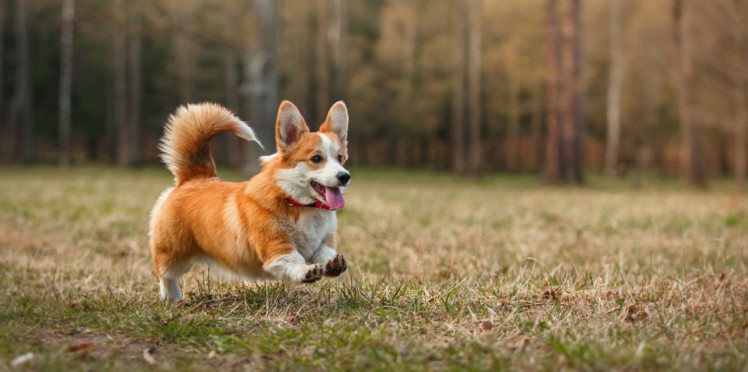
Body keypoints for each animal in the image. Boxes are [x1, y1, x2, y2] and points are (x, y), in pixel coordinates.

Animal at [152, 99, 354, 302]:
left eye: (340, 158)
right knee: (165, 274)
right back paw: (173, 299)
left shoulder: (323, 242)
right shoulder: (276, 247)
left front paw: (333, 264)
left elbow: (324, 253)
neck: (298, 202)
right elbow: (293, 259)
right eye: (316, 158)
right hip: (173, 253)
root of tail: (194, 177)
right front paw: (305, 271)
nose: (345, 176)